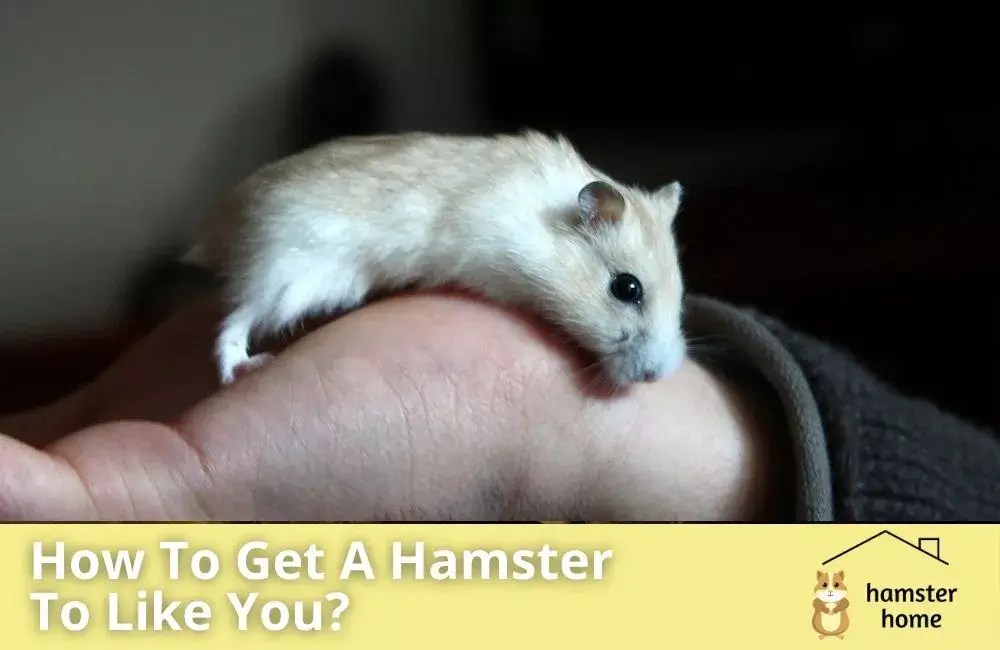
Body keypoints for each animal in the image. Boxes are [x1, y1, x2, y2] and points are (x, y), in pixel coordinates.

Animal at [184, 130, 688, 387]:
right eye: (627, 288)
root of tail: (219, 228)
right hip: (289, 268)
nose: (654, 377)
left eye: (681, 296)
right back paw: (241, 368)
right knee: (236, 320)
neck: (541, 220)